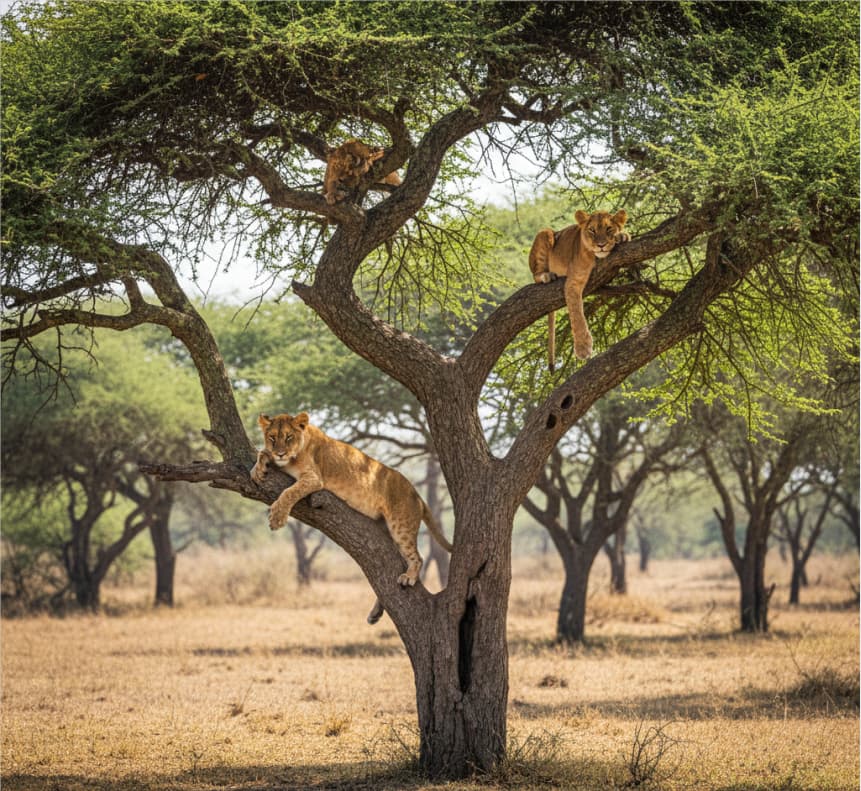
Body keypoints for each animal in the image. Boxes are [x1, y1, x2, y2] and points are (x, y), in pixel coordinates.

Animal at [251, 412, 451, 624]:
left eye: (289, 437)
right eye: (272, 438)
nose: (280, 453)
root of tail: (416, 493)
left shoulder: (313, 478)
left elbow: (289, 492)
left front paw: (276, 518)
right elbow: (263, 452)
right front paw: (257, 469)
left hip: (401, 526)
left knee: (418, 557)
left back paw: (409, 577)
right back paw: (375, 613)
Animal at [528, 209, 629, 370]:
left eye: (609, 229)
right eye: (592, 230)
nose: (601, 245)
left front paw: (622, 236)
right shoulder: (573, 282)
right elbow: (576, 314)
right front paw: (583, 348)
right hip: (545, 233)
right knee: (536, 275)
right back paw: (546, 276)